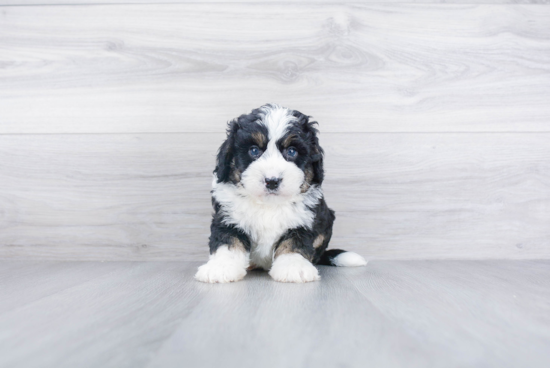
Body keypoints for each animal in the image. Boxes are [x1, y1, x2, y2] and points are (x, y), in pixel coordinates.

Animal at [194, 104, 366, 284]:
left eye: (291, 151)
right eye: (254, 150)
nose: (272, 180)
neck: (269, 205)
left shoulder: (305, 219)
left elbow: (294, 242)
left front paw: (293, 267)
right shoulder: (228, 216)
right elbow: (228, 241)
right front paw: (220, 267)